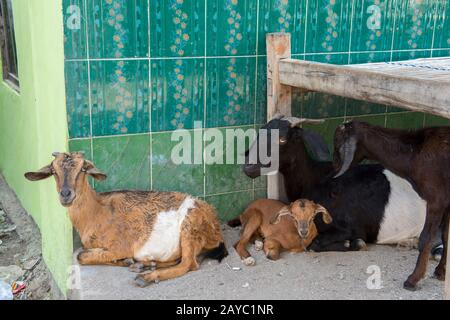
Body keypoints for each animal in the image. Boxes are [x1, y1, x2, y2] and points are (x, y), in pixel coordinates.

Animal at [24, 152, 227, 288]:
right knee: (179, 259)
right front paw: (129, 262)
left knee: (188, 263)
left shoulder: (121, 246)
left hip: (190, 226)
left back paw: (146, 277)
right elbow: (85, 253)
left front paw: (126, 261)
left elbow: (81, 256)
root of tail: (216, 228)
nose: (66, 194)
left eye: (83, 169)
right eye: (53, 170)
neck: (98, 211)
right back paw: (145, 265)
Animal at [237, 115, 442, 255]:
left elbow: (316, 244)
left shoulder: (351, 227)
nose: (249, 167)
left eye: (282, 139)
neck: (318, 178)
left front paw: (354, 243)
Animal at [334, 120, 450, 290]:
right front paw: (441, 272)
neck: (415, 152)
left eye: (337, 144)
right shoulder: (448, 202)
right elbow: (446, 236)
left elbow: (425, 238)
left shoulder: (436, 199)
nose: (333, 167)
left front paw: (413, 280)